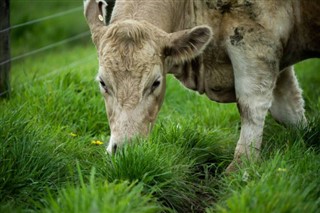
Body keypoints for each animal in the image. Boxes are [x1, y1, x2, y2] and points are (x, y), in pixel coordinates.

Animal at [83, 0, 320, 172]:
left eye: (156, 82)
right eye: (103, 82)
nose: (125, 150)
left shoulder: (256, 41)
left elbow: (251, 106)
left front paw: (241, 168)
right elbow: (289, 109)